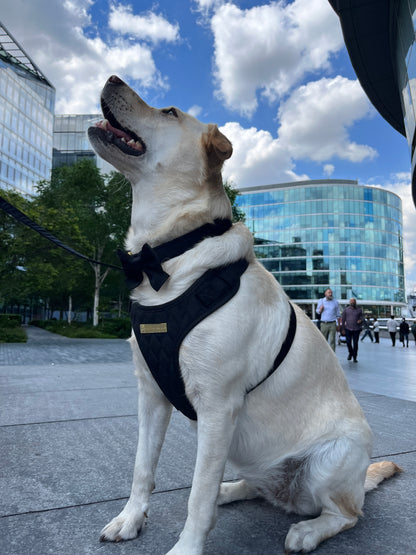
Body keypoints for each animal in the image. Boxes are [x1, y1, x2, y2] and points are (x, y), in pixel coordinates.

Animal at [88, 76, 400, 552]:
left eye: (170, 112)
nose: (110, 78)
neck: (168, 255)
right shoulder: (151, 396)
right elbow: (143, 468)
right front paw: (130, 519)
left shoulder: (218, 406)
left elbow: (196, 498)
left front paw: (186, 547)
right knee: (255, 486)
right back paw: (231, 489)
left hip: (333, 459)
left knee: (346, 514)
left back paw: (308, 530)